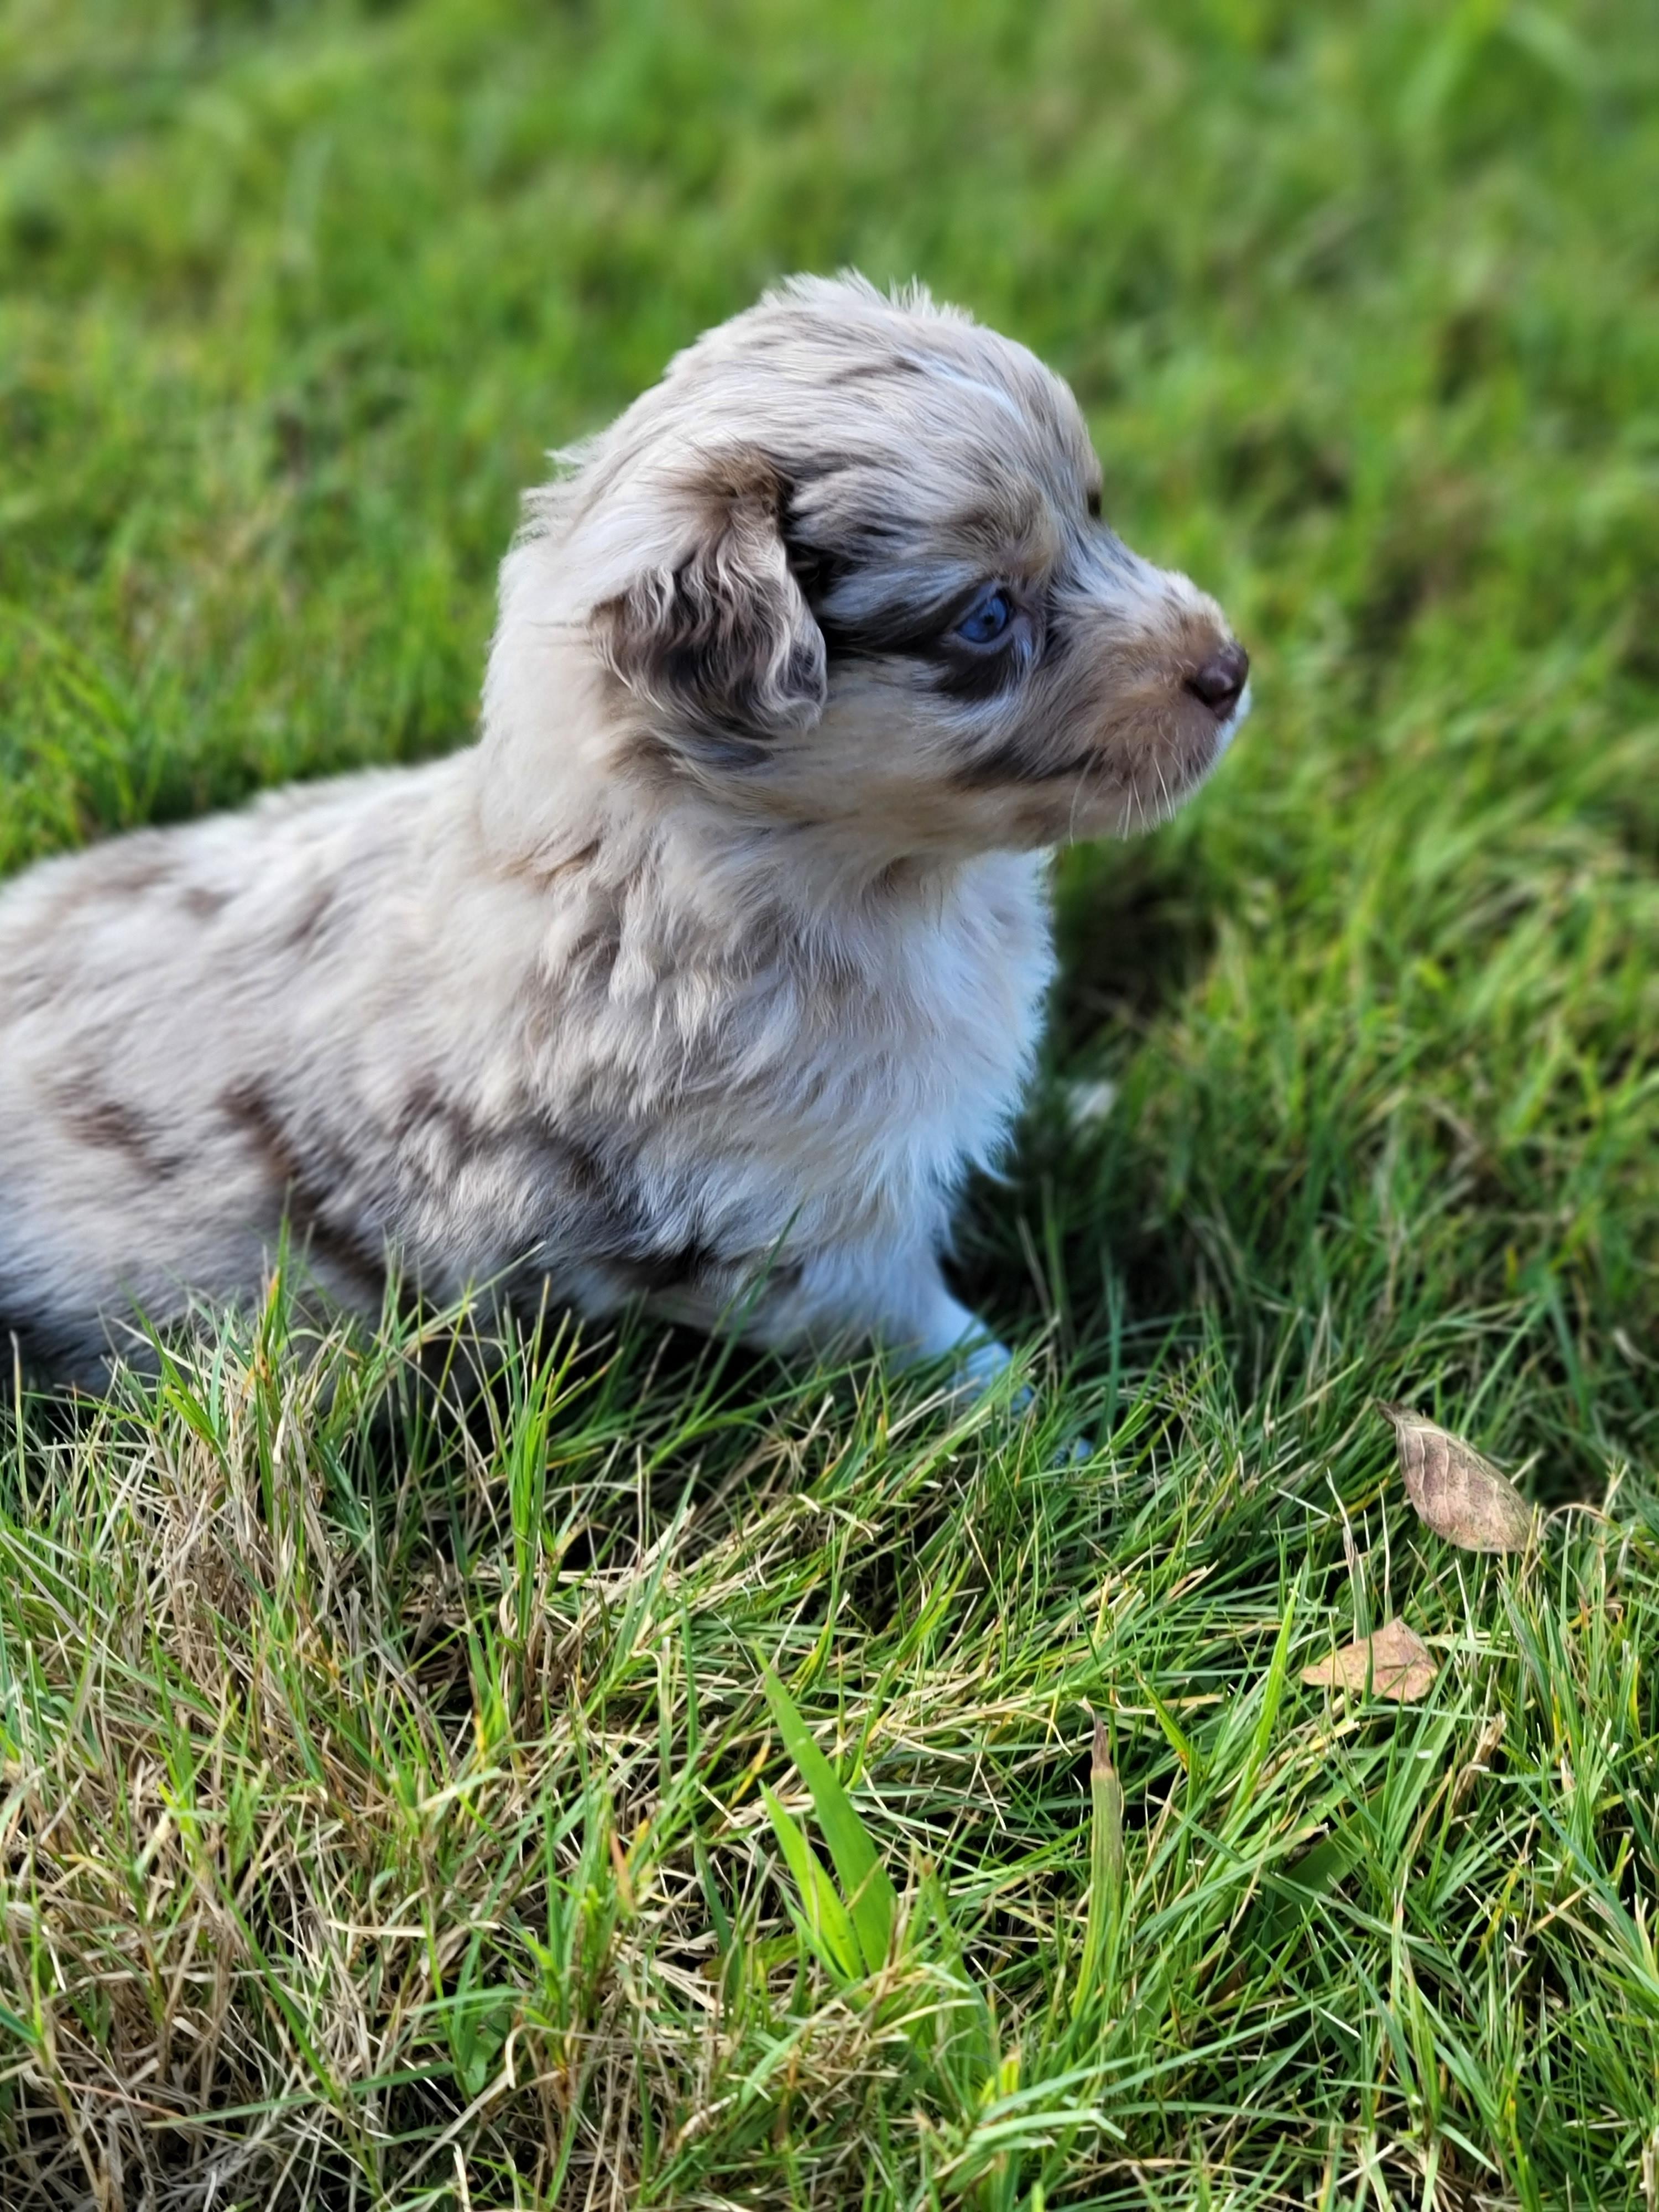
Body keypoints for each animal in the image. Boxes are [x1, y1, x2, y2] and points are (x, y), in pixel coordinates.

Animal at [0, 274, 1248, 1389]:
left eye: (1098, 511)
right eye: (988, 619)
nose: (1232, 669)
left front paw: (1085, 1104)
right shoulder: (804, 1244)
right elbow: (968, 1361)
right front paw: (1085, 1442)